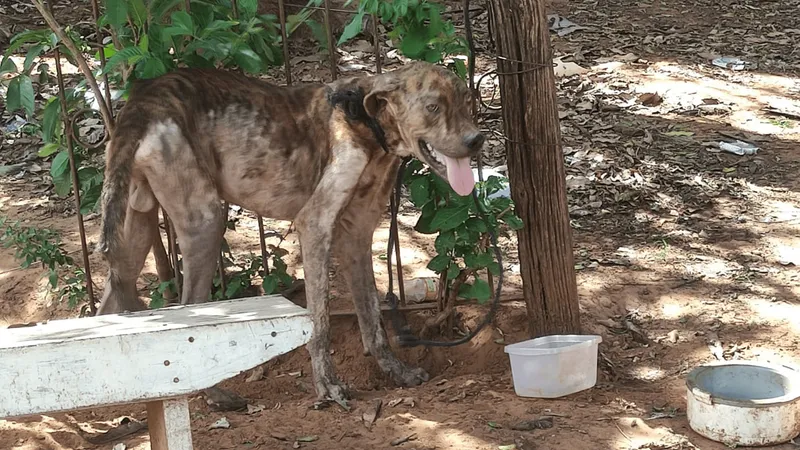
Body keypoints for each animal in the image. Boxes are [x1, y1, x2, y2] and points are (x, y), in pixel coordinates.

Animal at [94, 61, 482, 402]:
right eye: (432, 107)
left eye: (467, 103)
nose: (476, 140)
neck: (365, 120)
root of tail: (145, 99)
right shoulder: (315, 225)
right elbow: (320, 323)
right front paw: (327, 387)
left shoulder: (357, 236)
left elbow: (373, 320)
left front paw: (395, 371)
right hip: (206, 222)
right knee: (188, 309)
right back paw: (214, 394)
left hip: (135, 231)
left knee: (107, 308)